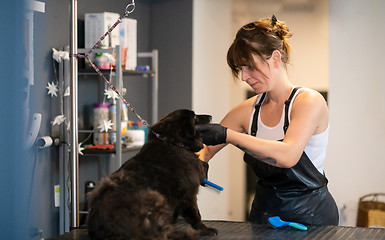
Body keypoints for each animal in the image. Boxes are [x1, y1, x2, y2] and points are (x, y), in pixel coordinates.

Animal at [88, 109, 219, 239]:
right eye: (195, 116)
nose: (210, 116)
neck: (173, 142)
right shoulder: (188, 194)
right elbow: (196, 215)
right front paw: (205, 229)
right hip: (156, 197)